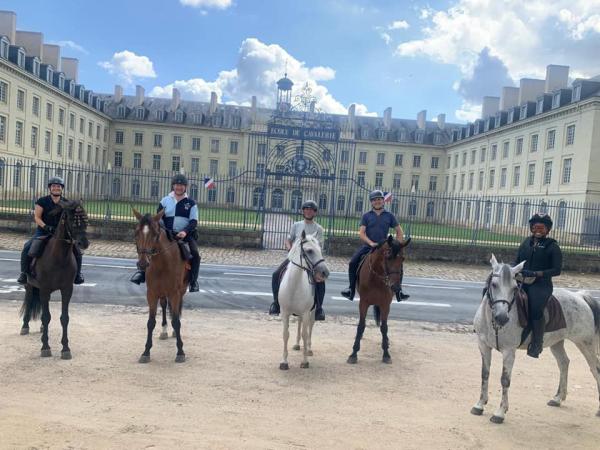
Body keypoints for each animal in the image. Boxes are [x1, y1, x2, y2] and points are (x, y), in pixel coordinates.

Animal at [19, 200, 89, 358]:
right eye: (72, 220)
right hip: (30, 286)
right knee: (29, 300)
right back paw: (25, 326)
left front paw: (65, 348)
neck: (59, 257)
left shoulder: (67, 289)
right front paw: (45, 347)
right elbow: (46, 316)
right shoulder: (44, 289)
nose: (84, 243)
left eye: (86, 220)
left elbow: (64, 318)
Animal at [133, 209, 190, 364]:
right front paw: (146, 352)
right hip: (162, 292)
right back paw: (164, 330)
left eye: (155, 234)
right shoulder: (151, 293)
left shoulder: (175, 293)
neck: (162, 264)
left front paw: (180, 351)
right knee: (164, 305)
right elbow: (151, 322)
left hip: (180, 290)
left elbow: (176, 321)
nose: (142, 263)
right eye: (136, 232)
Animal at [278, 230, 330, 370]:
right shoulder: (285, 313)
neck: (294, 285)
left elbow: (305, 334)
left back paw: (309, 349)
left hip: (311, 312)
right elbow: (285, 334)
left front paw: (305, 361)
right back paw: (297, 345)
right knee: (300, 324)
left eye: (320, 249)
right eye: (310, 251)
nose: (325, 272)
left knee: (310, 328)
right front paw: (284, 362)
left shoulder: (306, 312)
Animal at [344, 236, 410, 366]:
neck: (376, 277)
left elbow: (384, 327)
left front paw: (386, 354)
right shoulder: (363, 303)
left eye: (403, 258)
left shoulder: (385, 304)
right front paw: (353, 353)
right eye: (388, 257)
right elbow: (361, 325)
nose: (395, 287)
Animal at [474, 255, 600, 424]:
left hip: (585, 344)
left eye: (514, 288)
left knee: (595, 369)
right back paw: (557, 398)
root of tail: (580, 296)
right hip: (557, 343)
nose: (502, 318)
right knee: (564, 363)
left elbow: (505, 379)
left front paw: (500, 412)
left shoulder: (509, 352)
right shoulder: (483, 346)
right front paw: (480, 404)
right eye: (494, 285)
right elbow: (484, 374)